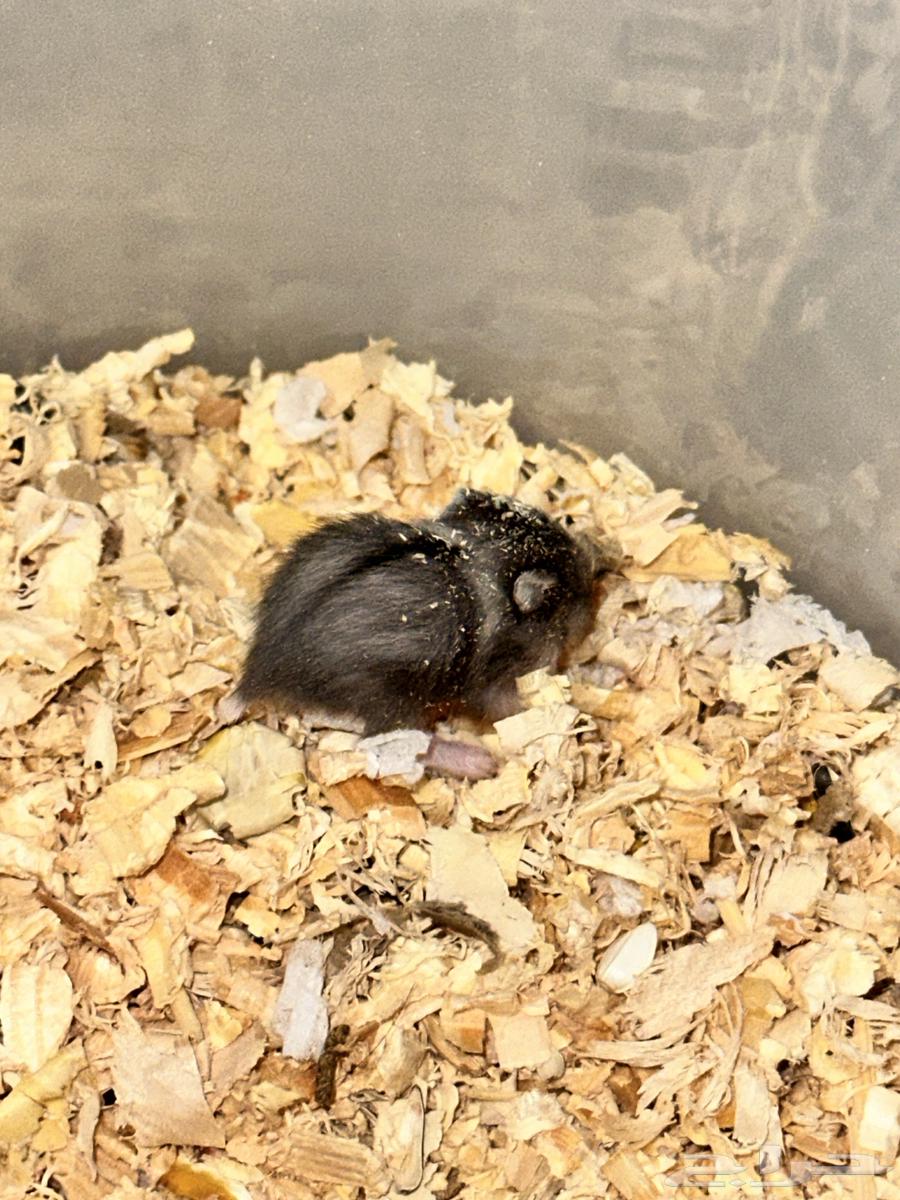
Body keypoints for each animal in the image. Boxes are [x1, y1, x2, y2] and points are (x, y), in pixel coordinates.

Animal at [223, 489, 603, 773]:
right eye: (560, 594)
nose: (594, 574)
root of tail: (261, 671)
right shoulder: (496, 684)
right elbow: (514, 708)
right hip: (391, 701)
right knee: (383, 743)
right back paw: (482, 762)